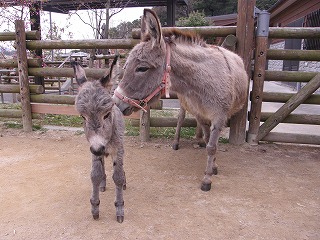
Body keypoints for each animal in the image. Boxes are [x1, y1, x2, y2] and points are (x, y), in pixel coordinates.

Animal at [72, 57, 126, 222]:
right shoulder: (93, 149)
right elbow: (95, 174)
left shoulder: (117, 149)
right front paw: (95, 207)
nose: (98, 148)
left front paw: (119, 208)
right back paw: (102, 183)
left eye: (107, 114)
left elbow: (118, 177)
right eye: (83, 117)